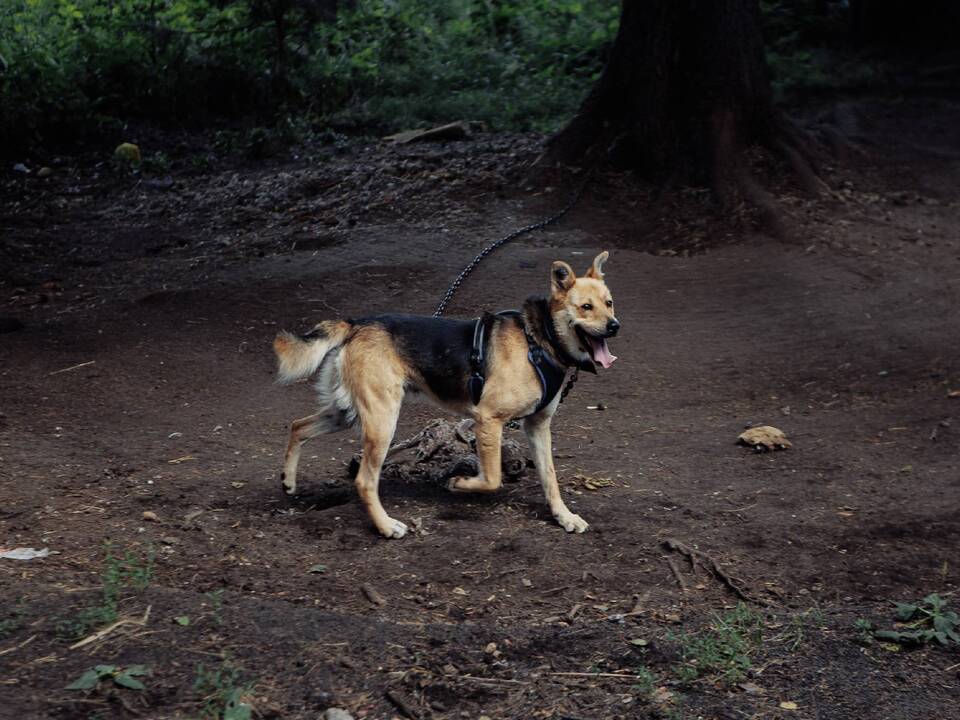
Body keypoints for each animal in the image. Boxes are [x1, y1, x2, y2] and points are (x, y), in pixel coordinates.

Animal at [274, 250, 620, 536]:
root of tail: (357, 324)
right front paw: (459, 483)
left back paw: (288, 481)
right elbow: (492, 478)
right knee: (363, 480)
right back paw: (386, 526)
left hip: (346, 413)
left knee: (297, 426)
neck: (539, 339)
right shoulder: (488, 420)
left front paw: (564, 517)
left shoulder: (538, 426)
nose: (614, 326)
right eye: (585, 307)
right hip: (382, 420)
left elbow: (550, 478)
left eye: (609, 303)